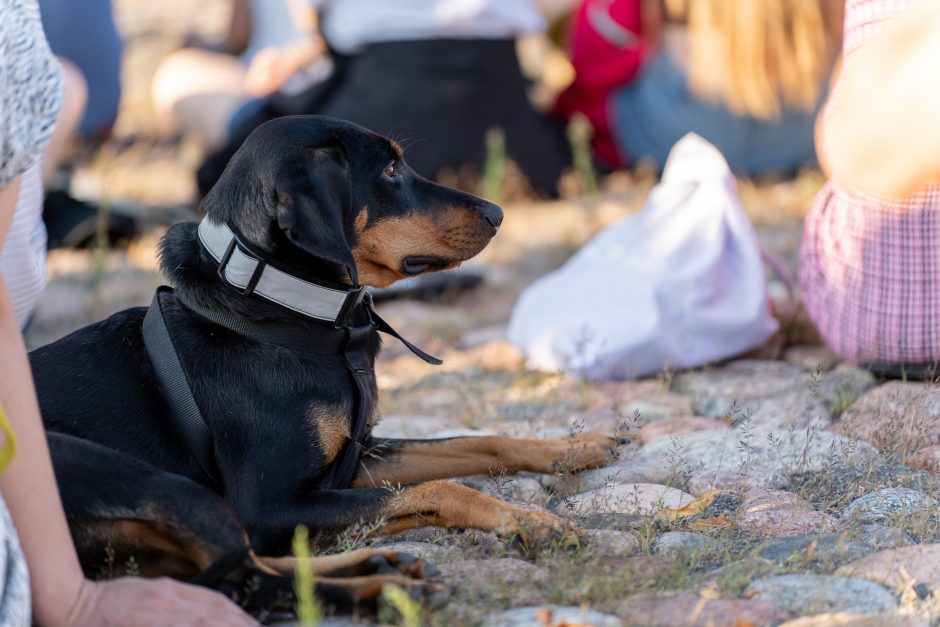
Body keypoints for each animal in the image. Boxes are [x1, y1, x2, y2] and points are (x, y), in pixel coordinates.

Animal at [29, 114, 620, 612]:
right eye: (389, 170)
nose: (498, 214)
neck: (282, 308)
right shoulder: (269, 506)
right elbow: (443, 487)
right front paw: (533, 523)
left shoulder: (355, 457)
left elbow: (473, 444)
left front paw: (574, 447)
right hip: (158, 485)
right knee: (251, 580)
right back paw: (382, 585)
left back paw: (384, 565)